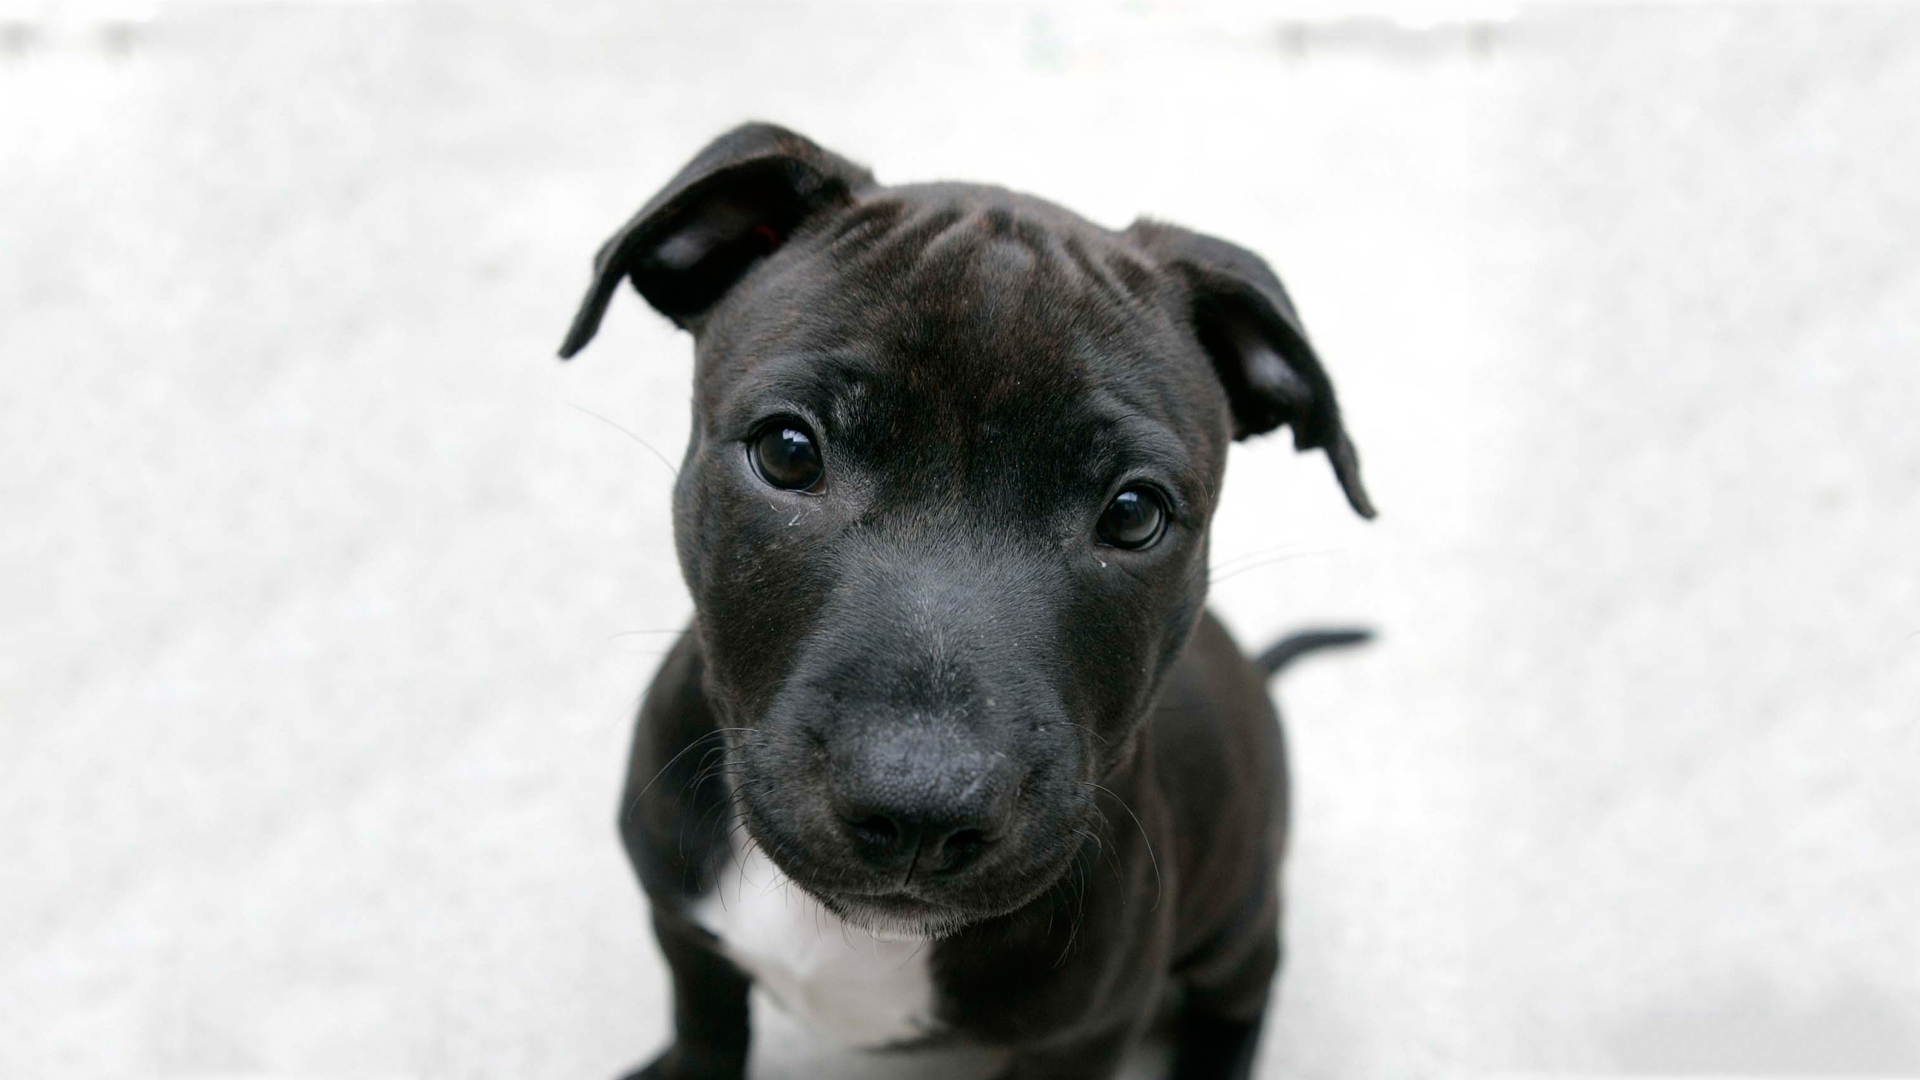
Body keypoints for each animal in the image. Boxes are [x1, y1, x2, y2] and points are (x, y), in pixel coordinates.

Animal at [560, 123, 1374, 1076]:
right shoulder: (686, 937)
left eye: (1134, 514)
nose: (919, 812)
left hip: (1241, 925)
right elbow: (706, 1033)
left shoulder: (1087, 1034)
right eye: (788, 452)